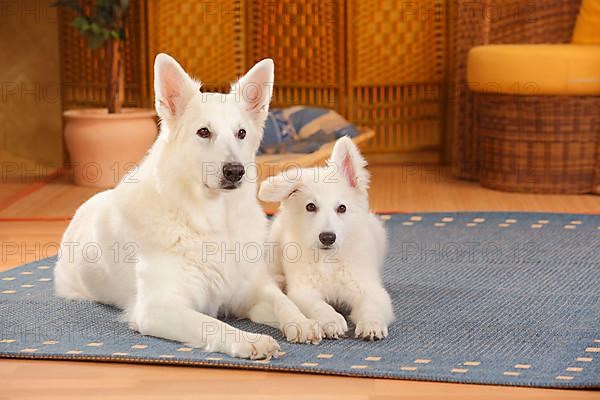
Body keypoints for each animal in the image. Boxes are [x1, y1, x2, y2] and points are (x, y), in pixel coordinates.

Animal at [53, 52, 322, 360]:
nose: (235, 171)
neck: (211, 220)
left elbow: (282, 301)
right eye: (203, 132)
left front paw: (301, 321)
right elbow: (212, 323)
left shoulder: (249, 291)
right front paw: (250, 340)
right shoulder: (157, 308)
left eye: (241, 133)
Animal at [258, 137, 394, 340]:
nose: (327, 237)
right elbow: (319, 306)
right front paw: (332, 320)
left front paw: (372, 325)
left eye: (342, 208)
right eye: (310, 206)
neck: (329, 260)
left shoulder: (370, 289)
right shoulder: (304, 291)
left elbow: (372, 306)